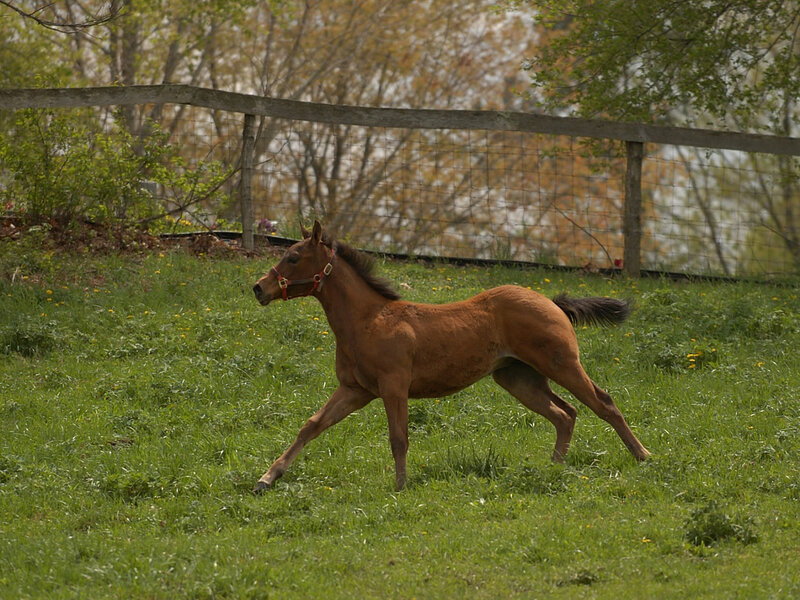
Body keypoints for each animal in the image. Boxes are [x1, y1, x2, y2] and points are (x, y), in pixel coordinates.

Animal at [252, 221, 650, 493]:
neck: (369, 321)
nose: (259, 288)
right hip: (519, 377)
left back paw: (644, 457)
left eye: (293, 257)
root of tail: (552, 302)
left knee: (603, 402)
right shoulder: (355, 390)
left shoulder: (393, 387)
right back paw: (553, 468)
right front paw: (266, 478)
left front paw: (400, 487)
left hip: (561, 364)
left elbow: (398, 438)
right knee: (565, 414)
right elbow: (312, 425)